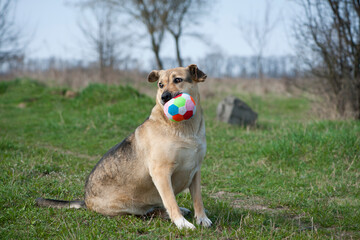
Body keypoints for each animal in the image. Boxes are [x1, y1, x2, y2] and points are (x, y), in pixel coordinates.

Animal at [35, 64, 211, 230]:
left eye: (178, 80)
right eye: (160, 84)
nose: (164, 97)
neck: (185, 129)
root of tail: (85, 200)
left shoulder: (195, 171)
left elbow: (198, 199)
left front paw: (202, 218)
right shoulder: (161, 172)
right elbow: (171, 201)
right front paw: (182, 223)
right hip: (127, 205)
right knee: (149, 212)